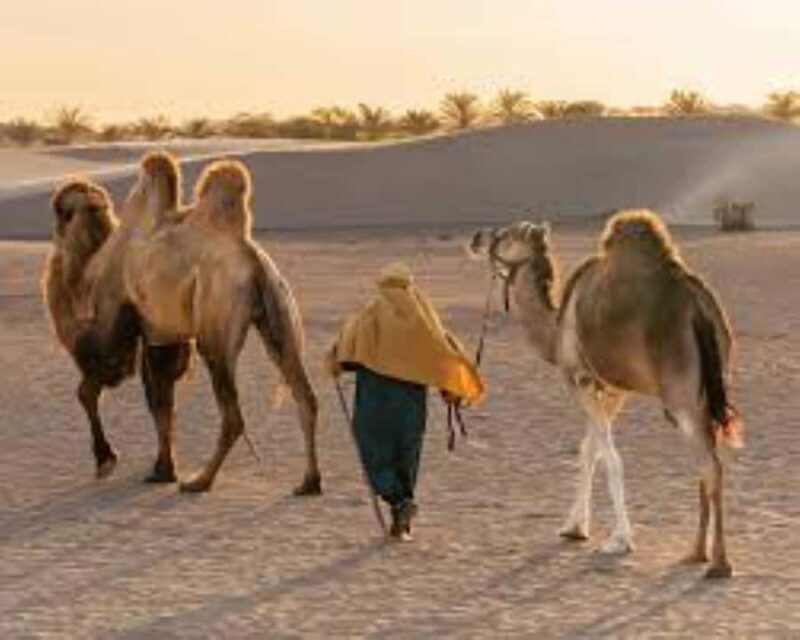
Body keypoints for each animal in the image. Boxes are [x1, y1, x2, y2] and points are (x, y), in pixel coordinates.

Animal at [118, 154, 321, 494]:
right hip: (280, 315)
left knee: (231, 414)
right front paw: (163, 468)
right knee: (305, 395)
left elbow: (159, 399)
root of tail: (252, 260)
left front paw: (162, 471)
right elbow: (163, 398)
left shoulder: (155, 330)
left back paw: (200, 480)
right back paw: (309, 481)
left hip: (215, 322)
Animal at [471, 210, 742, 578]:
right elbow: (590, 450)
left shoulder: (579, 379)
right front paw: (574, 528)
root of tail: (699, 307)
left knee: (711, 465)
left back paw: (718, 563)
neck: (556, 330)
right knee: (704, 461)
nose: (478, 238)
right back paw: (695, 553)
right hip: (710, 388)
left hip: (682, 394)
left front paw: (619, 539)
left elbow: (610, 457)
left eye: (509, 234)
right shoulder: (612, 389)